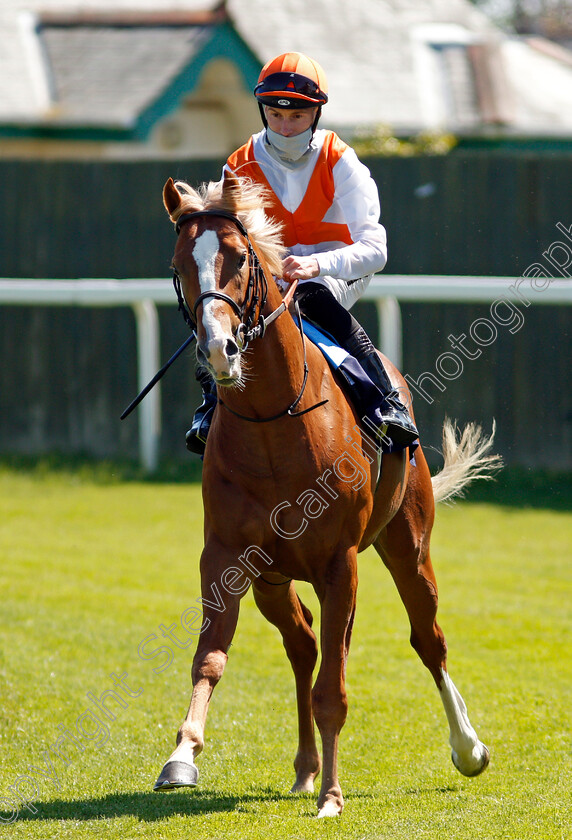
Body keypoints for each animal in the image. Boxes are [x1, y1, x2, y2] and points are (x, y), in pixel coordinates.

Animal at [153, 172, 496, 820]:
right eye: (181, 265)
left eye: (239, 258)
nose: (218, 349)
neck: (271, 426)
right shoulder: (226, 558)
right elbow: (210, 657)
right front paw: (182, 755)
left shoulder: (340, 565)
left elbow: (334, 690)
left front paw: (334, 796)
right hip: (272, 580)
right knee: (304, 645)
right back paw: (305, 768)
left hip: (408, 546)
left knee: (427, 640)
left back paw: (467, 747)